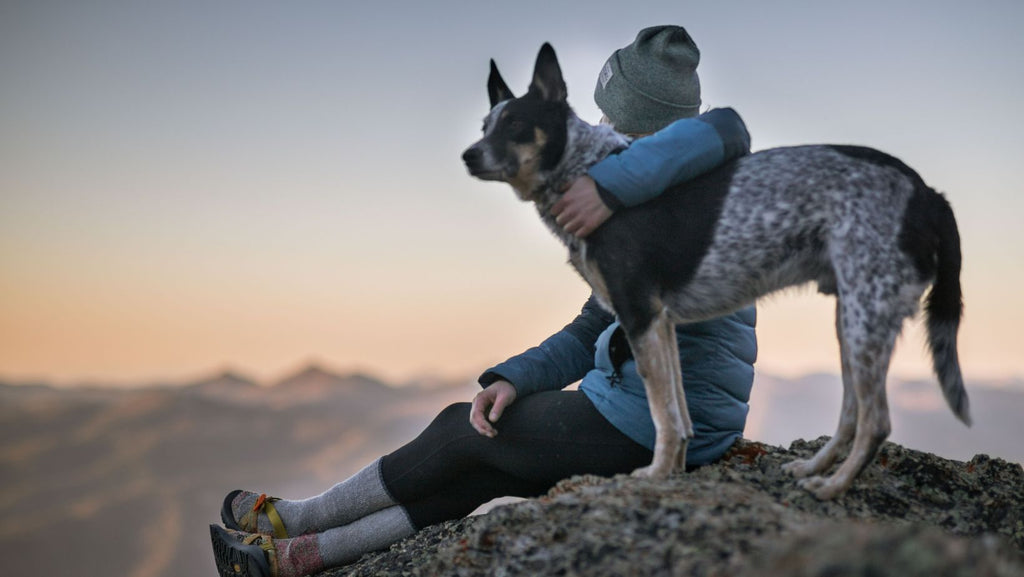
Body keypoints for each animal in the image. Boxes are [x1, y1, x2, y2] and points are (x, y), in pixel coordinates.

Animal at [464, 44, 966, 502]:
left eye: (515, 124)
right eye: (485, 126)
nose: (468, 155)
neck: (583, 168)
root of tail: (928, 193)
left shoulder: (638, 314)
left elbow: (662, 413)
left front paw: (652, 476)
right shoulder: (661, 323)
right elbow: (678, 415)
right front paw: (672, 472)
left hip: (866, 319)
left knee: (876, 421)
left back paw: (833, 487)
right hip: (854, 321)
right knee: (849, 414)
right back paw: (811, 470)